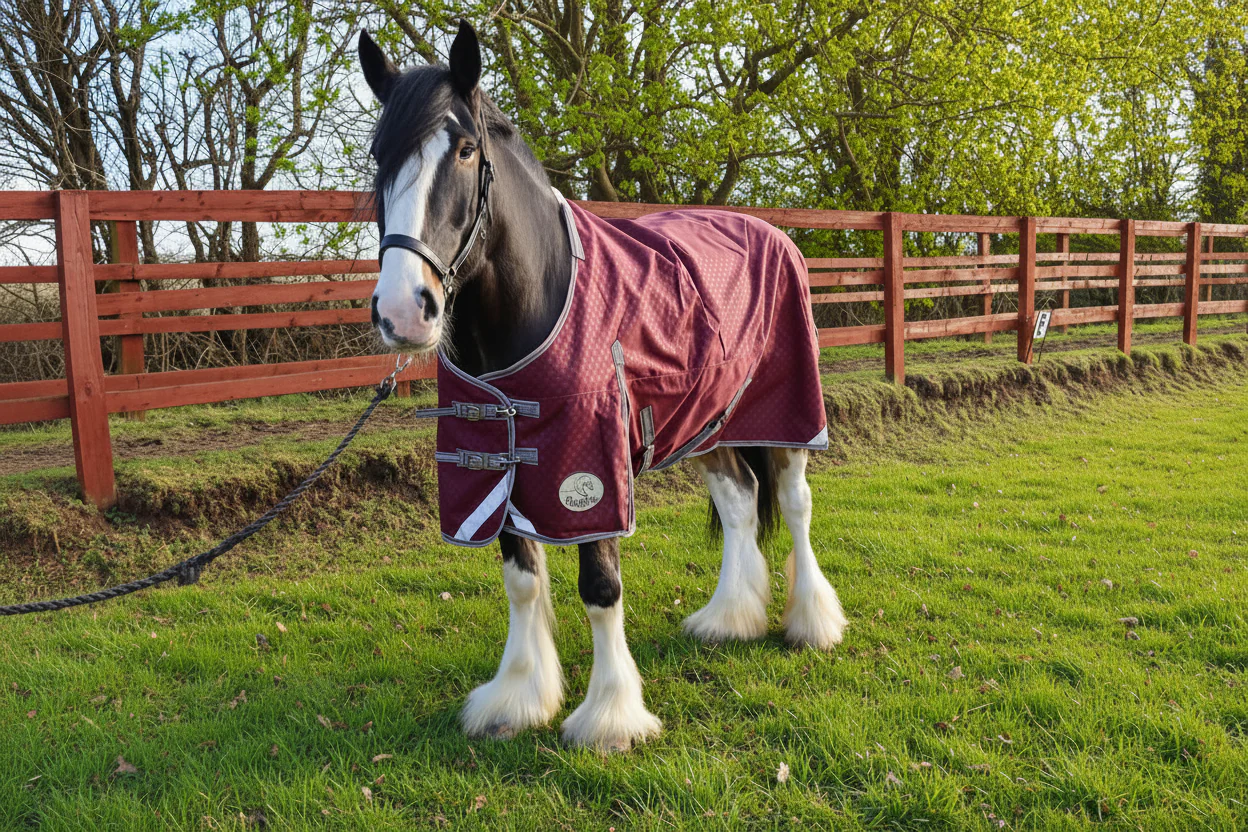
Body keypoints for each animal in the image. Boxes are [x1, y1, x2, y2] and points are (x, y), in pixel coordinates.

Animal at [359, 22, 849, 752]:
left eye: (466, 149)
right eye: (379, 156)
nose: (402, 310)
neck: (536, 302)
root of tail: (768, 230)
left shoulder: (589, 471)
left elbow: (599, 586)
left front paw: (610, 717)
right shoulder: (498, 463)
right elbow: (521, 580)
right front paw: (516, 698)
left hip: (786, 416)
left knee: (792, 502)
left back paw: (812, 624)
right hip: (707, 425)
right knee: (739, 501)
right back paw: (728, 618)